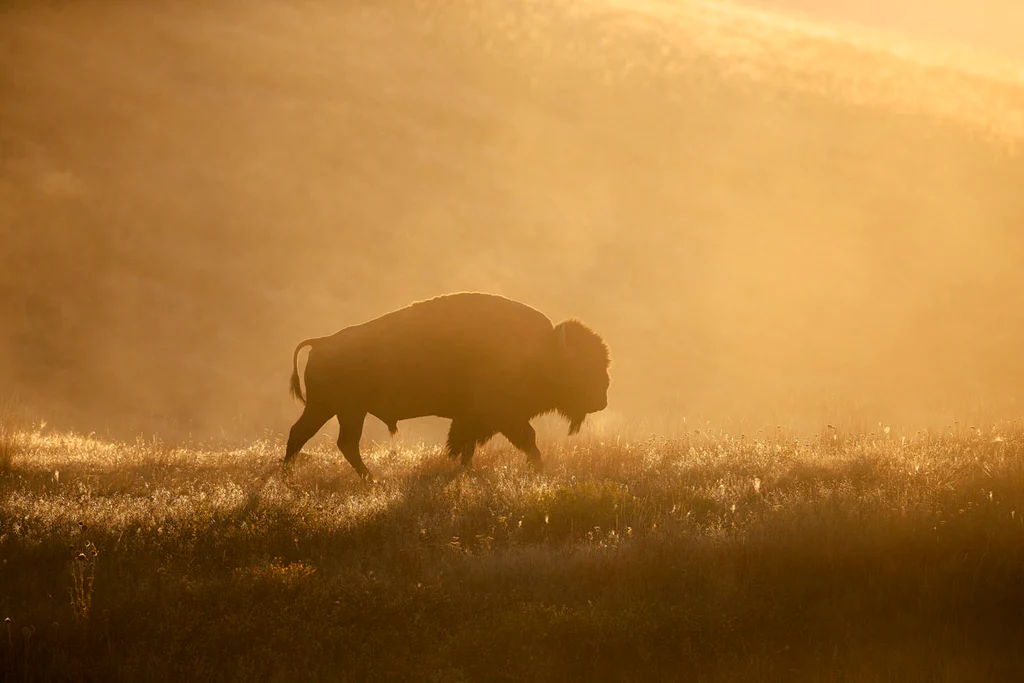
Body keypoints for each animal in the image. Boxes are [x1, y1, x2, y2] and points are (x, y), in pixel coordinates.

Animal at [285, 292, 610, 479]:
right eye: (583, 367)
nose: (602, 399)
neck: (543, 349)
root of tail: (322, 342)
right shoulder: (503, 416)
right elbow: (528, 440)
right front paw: (538, 470)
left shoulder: (473, 419)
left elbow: (466, 445)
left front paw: (466, 472)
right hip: (344, 410)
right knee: (336, 441)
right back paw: (369, 480)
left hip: (331, 408)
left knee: (307, 435)